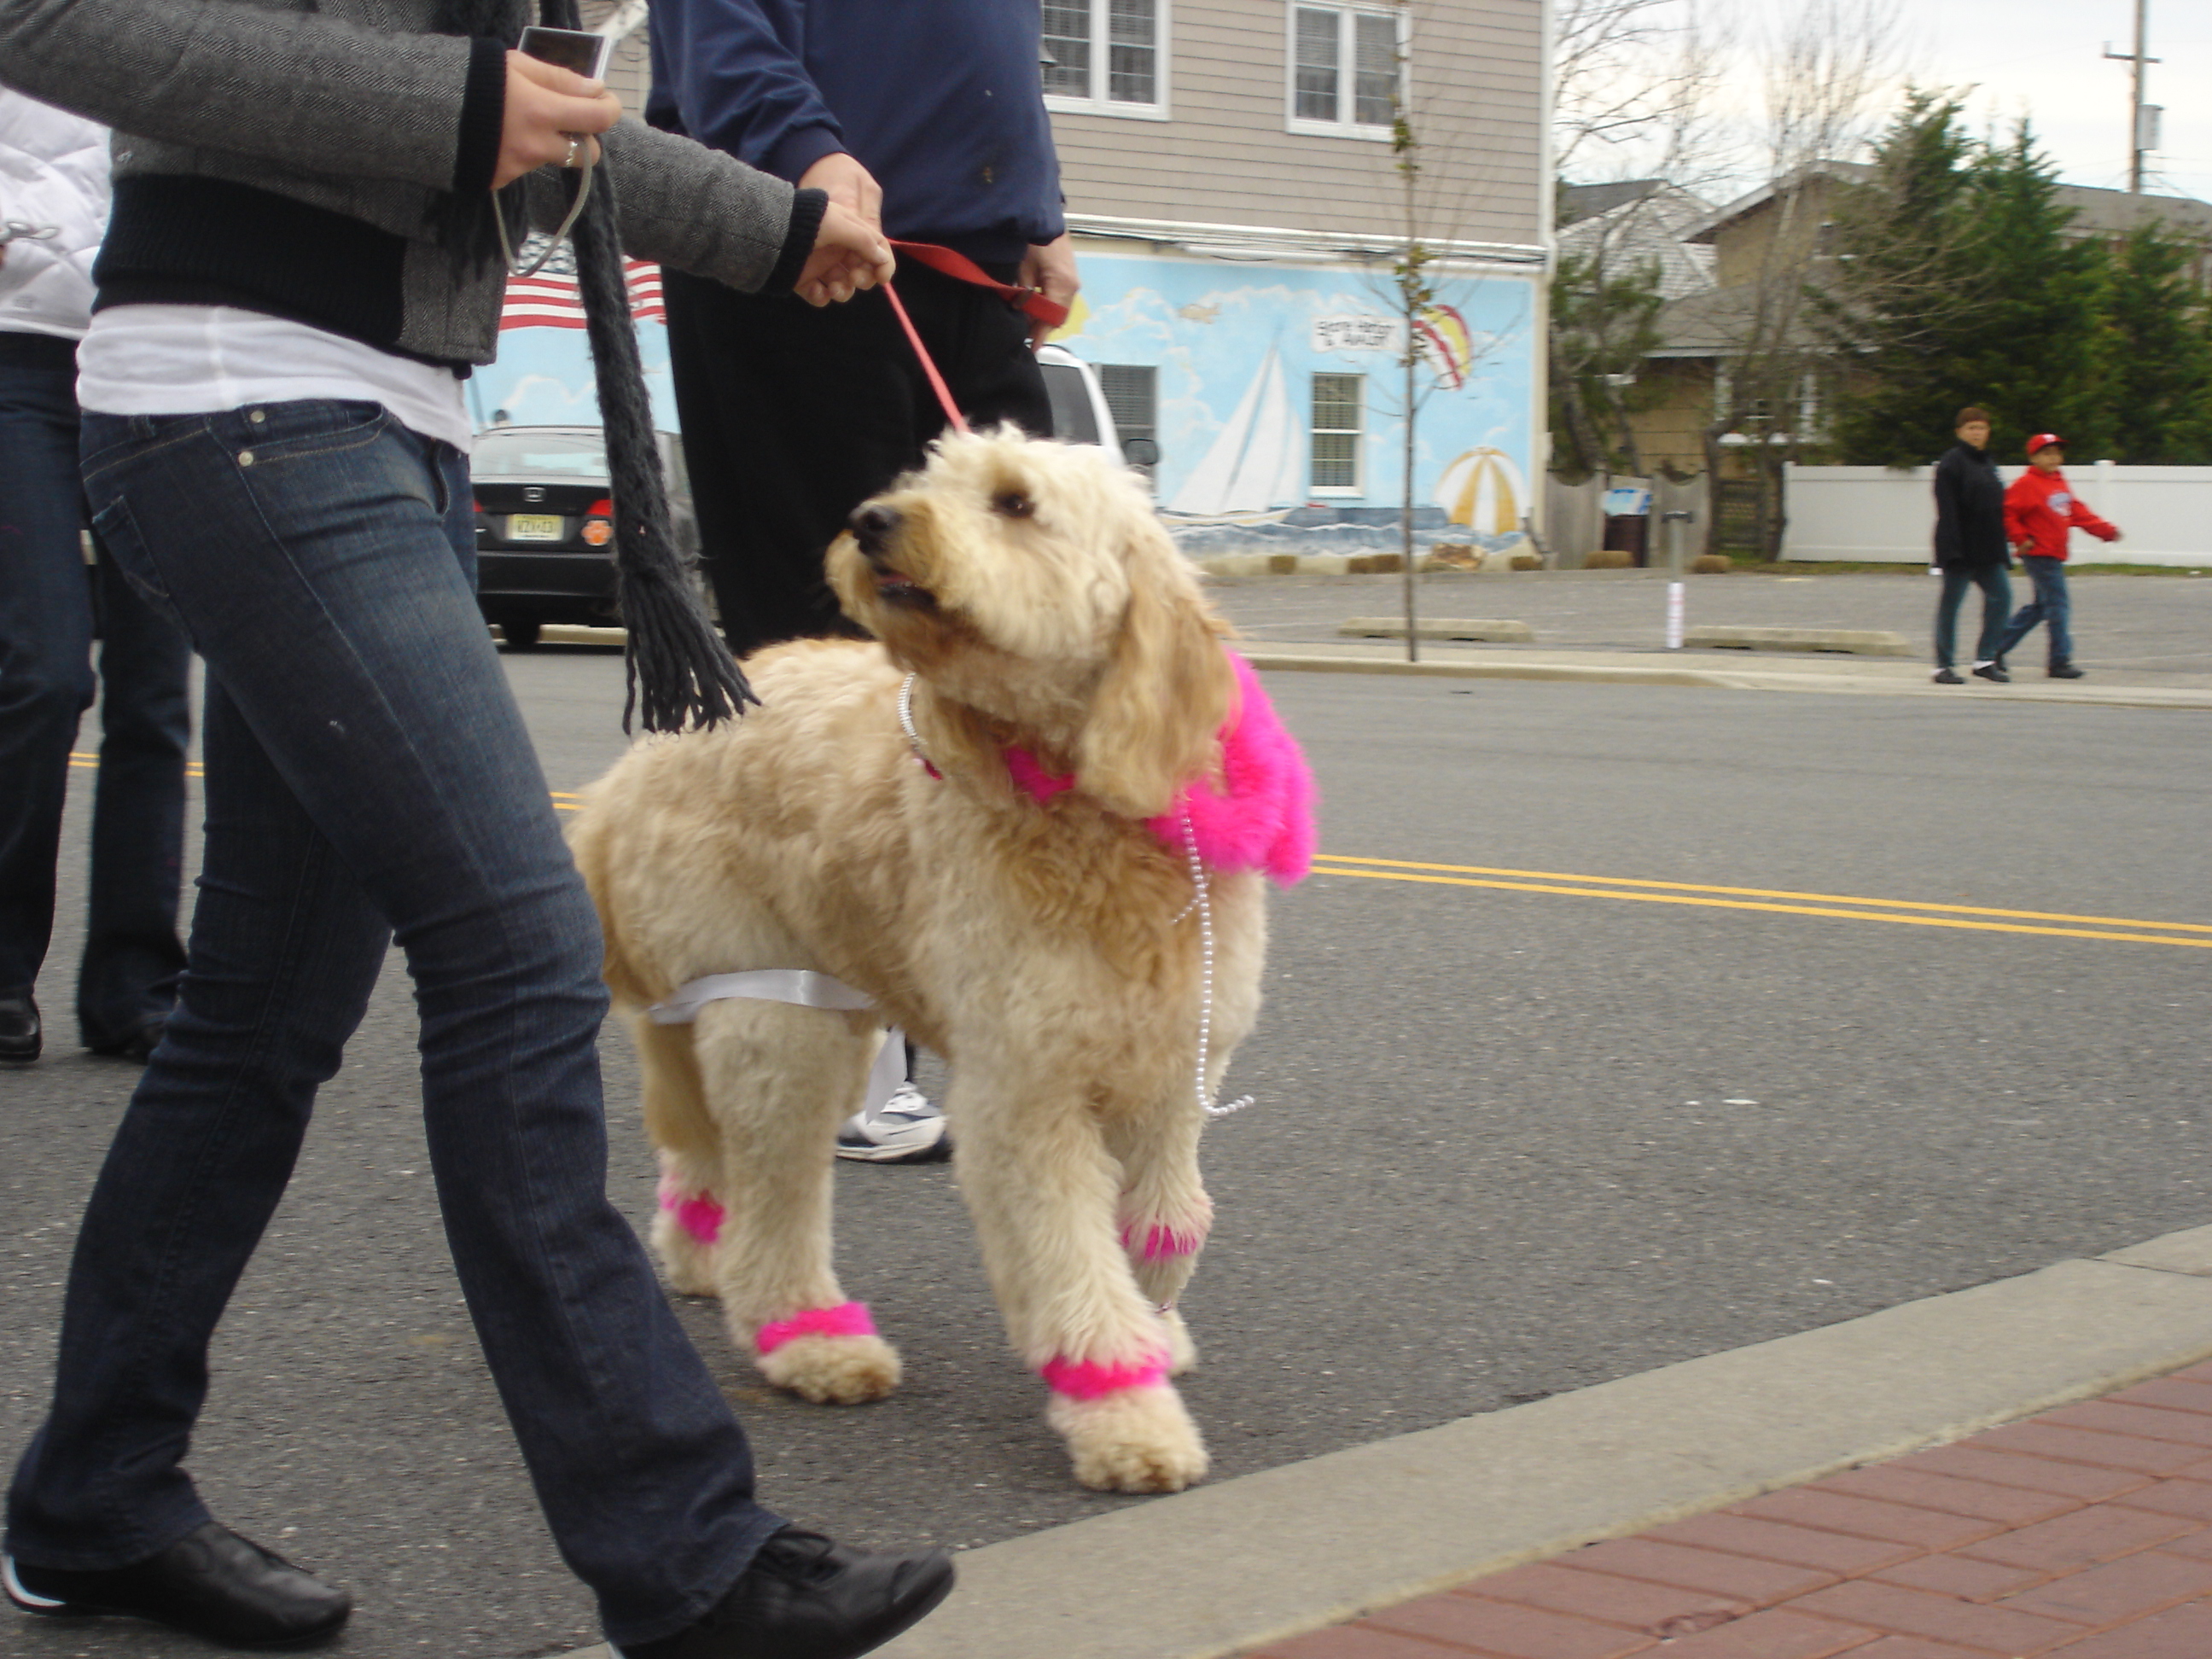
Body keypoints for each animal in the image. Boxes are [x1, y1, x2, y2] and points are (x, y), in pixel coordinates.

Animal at [566, 428, 1313, 1493]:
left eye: (1013, 502)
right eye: (925, 478)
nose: (872, 520)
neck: (1085, 809)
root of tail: (641, 758)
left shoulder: (1176, 1068)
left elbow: (1169, 1219)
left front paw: (1154, 1326)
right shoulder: (1026, 1096)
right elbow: (1072, 1254)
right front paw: (1123, 1408)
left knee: (708, 1154)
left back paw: (699, 1253)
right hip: (773, 1012)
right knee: (774, 1203)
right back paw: (811, 1337)